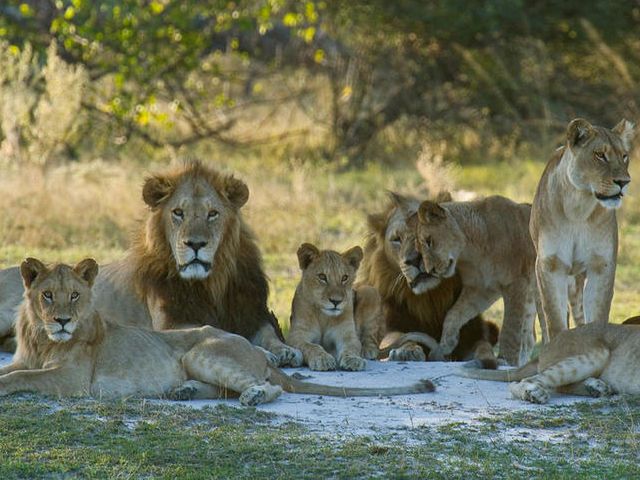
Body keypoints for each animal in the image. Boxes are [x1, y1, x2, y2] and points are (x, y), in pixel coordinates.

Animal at [0, 258, 435, 403]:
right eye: (48, 296)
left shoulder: (73, 379)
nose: (62, 321)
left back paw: (253, 397)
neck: (40, 338)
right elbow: (12, 369)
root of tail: (259, 352)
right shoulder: (26, 359)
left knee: (268, 388)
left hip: (201, 350)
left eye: (74, 296)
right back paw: (183, 392)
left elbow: (21, 378)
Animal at [286, 243, 382, 371]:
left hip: (370, 291)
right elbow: (311, 346)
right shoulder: (296, 335)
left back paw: (368, 350)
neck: (324, 316)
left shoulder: (347, 334)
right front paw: (323, 359)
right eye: (322, 277)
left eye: (344, 278)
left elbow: (351, 347)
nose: (336, 301)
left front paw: (353, 360)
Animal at [359, 192, 499, 368]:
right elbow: (397, 336)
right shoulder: (388, 328)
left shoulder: (472, 333)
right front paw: (407, 351)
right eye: (397, 239)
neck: (430, 299)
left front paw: (488, 359)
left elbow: (483, 345)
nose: (415, 258)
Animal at [531, 118, 634, 339]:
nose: (624, 182)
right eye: (600, 155)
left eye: (624, 156)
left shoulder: (601, 264)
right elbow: (555, 319)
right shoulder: (550, 265)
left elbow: (597, 314)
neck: (578, 206)